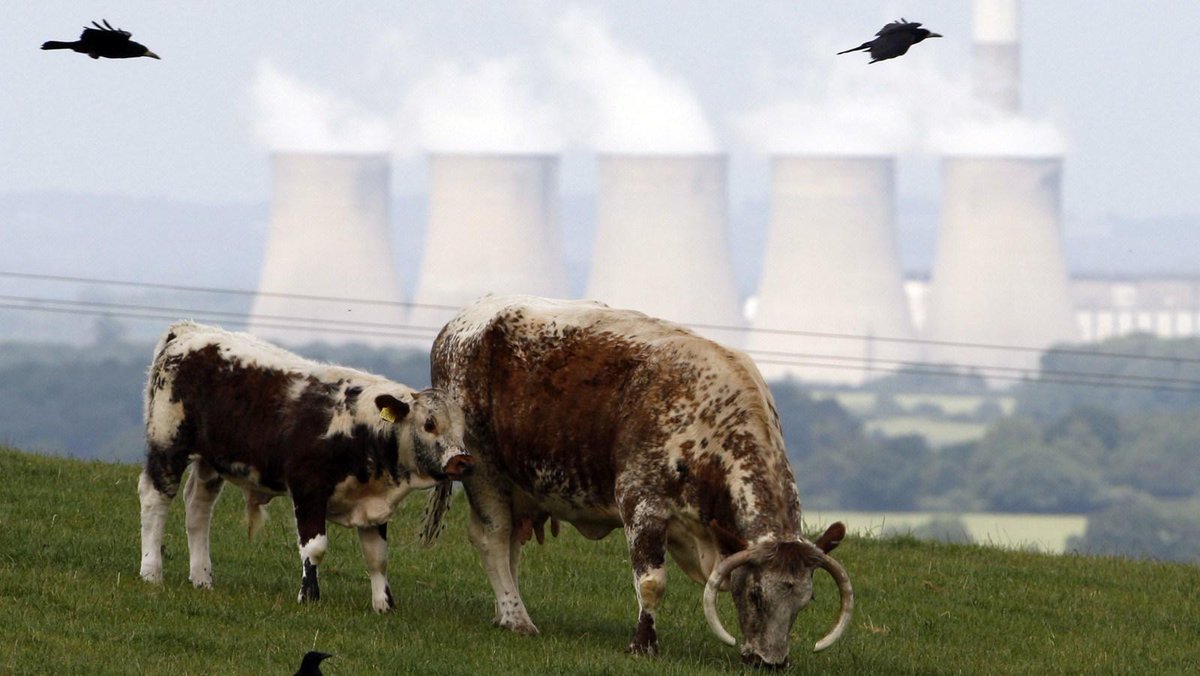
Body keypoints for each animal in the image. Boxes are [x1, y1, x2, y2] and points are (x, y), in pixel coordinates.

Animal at [137, 321, 474, 612]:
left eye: (463, 429)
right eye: (429, 424)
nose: (461, 461)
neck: (361, 428)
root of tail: (189, 331)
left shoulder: (371, 506)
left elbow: (377, 558)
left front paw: (384, 605)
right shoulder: (308, 491)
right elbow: (315, 548)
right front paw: (309, 596)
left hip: (210, 461)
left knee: (198, 508)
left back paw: (202, 577)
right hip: (168, 444)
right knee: (155, 499)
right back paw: (151, 571)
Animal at [430, 295, 854, 668]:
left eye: (805, 600)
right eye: (755, 594)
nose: (772, 662)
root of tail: (457, 324)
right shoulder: (641, 502)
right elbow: (652, 582)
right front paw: (643, 644)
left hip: (520, 485)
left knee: (511, 546)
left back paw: (506, 610)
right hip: (483, 469)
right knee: (493, 538)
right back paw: (518, 619)